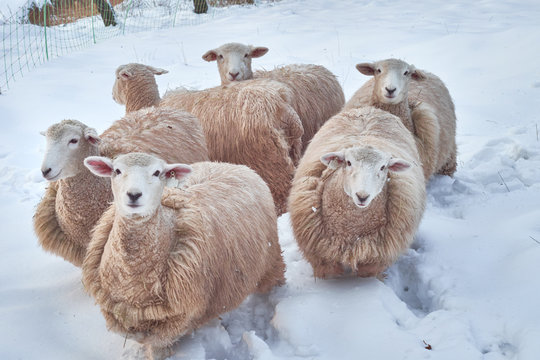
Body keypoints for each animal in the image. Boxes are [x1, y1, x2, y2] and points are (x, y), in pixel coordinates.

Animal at [81, 153, 284, 360]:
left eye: (157, 172)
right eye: (117, 170)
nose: (134, 195)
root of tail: (230, 165)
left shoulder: (176, 320)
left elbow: (157, 348)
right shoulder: (122, 311)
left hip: (271, 260)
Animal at [288, 107, 424, 278]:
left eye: (383, 167)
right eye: (348, 162)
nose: (362, 196)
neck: (351, 230)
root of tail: (370, 109)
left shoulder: (373, 260)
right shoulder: (322, 257)